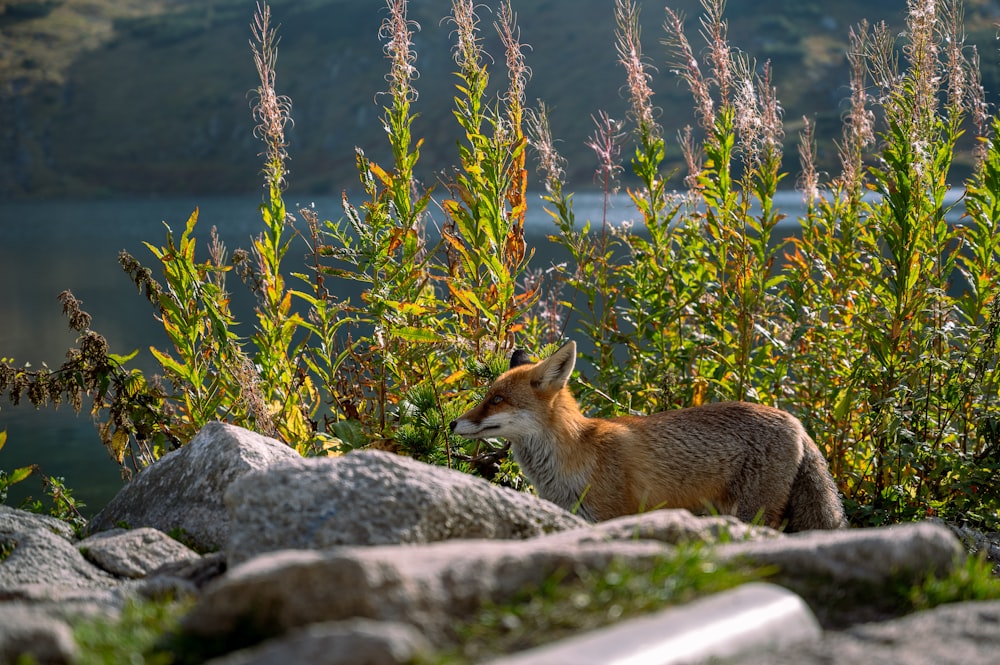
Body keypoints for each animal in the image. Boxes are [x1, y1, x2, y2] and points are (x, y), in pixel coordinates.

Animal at [450, 342, 848, 528]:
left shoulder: (610, 516)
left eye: (496, 400)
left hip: (753, 512)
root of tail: (796, 421)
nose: (452, 424)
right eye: (487, 396)